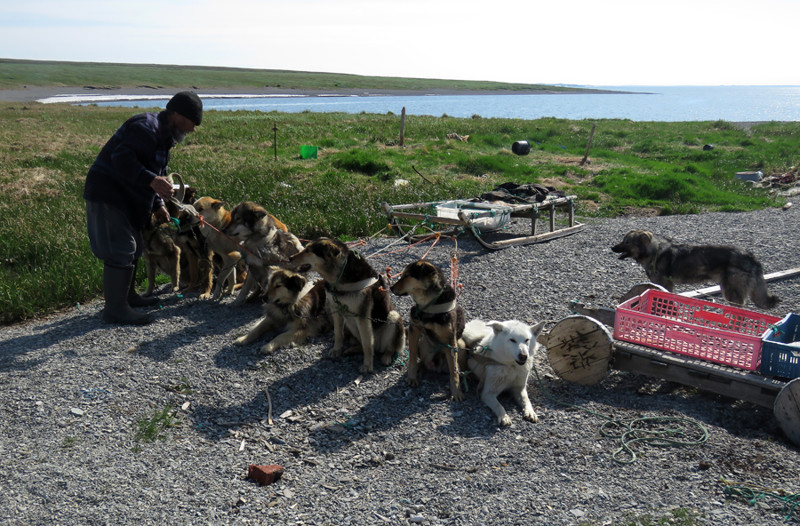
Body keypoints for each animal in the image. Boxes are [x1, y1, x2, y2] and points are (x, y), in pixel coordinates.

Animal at [290, 239, 406, 376]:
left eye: (308, 250)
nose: (290, 258)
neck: (339, 276)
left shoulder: (362, 317)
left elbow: (367, 344)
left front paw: (367, 365)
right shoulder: (337, 310)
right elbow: (338, 333)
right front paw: (336, 350)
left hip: (393, 317)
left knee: (388, 347)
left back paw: (386, 357)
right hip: (350, 323)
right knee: (363, 343)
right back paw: (352, 349)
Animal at [390, 262, 466, 402]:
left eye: (407, 276)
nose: (391, 288)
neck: (428, 303)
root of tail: (436, 366)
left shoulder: (450, 341)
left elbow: (454, 371)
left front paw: (457, 391)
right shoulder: (413, 330)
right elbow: (412, 357)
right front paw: (412, 377)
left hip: (461, 345)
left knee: (455, 366)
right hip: (423, 343)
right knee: (422, 362)